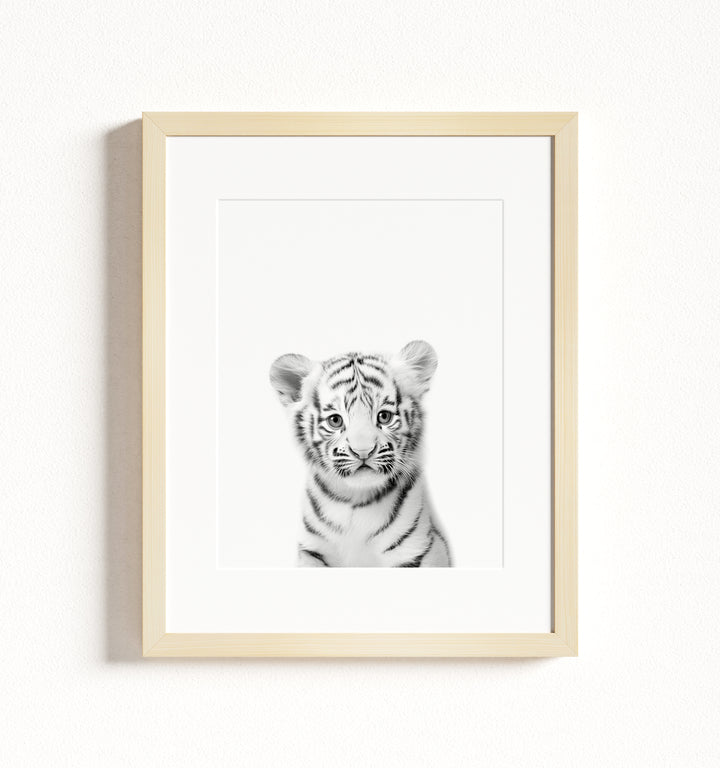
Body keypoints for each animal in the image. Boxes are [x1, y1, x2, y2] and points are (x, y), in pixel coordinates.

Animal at [269, 340, 451, 567]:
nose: (363, 451)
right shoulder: (311, 551)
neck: (355, 502)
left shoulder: (417, 550)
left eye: (384, 416)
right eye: (335, 420)